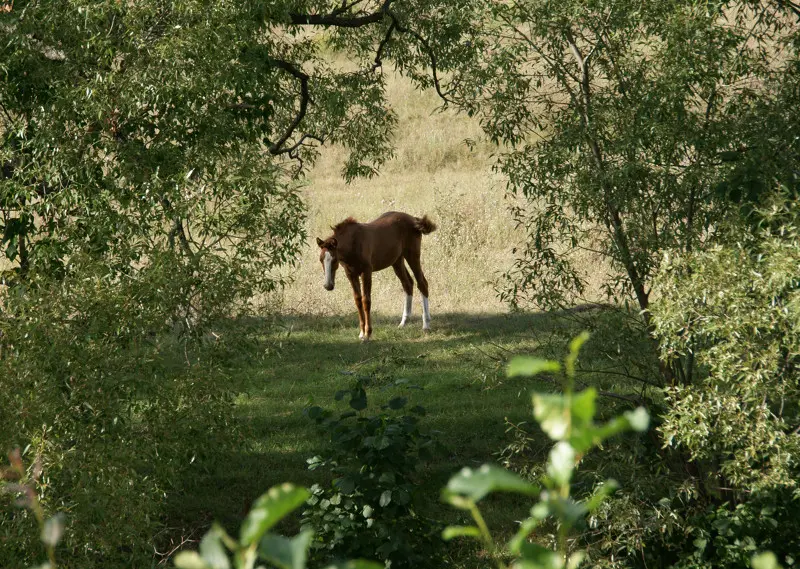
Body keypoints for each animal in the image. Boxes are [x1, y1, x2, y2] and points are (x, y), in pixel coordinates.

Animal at [316, 210, 438, 340]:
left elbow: (366, 300)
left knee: (422, 283)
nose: (328, 285)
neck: (354, 242)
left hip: (412, 255)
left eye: (334, 260)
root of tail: (414, 219)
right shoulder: (351, 274)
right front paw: (361, 333)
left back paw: (426, 325)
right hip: (397, 260)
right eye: (321, 259)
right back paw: (403, 322)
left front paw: (368, 333)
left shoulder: (366, 272)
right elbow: (358, 300)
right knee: (408, 284)